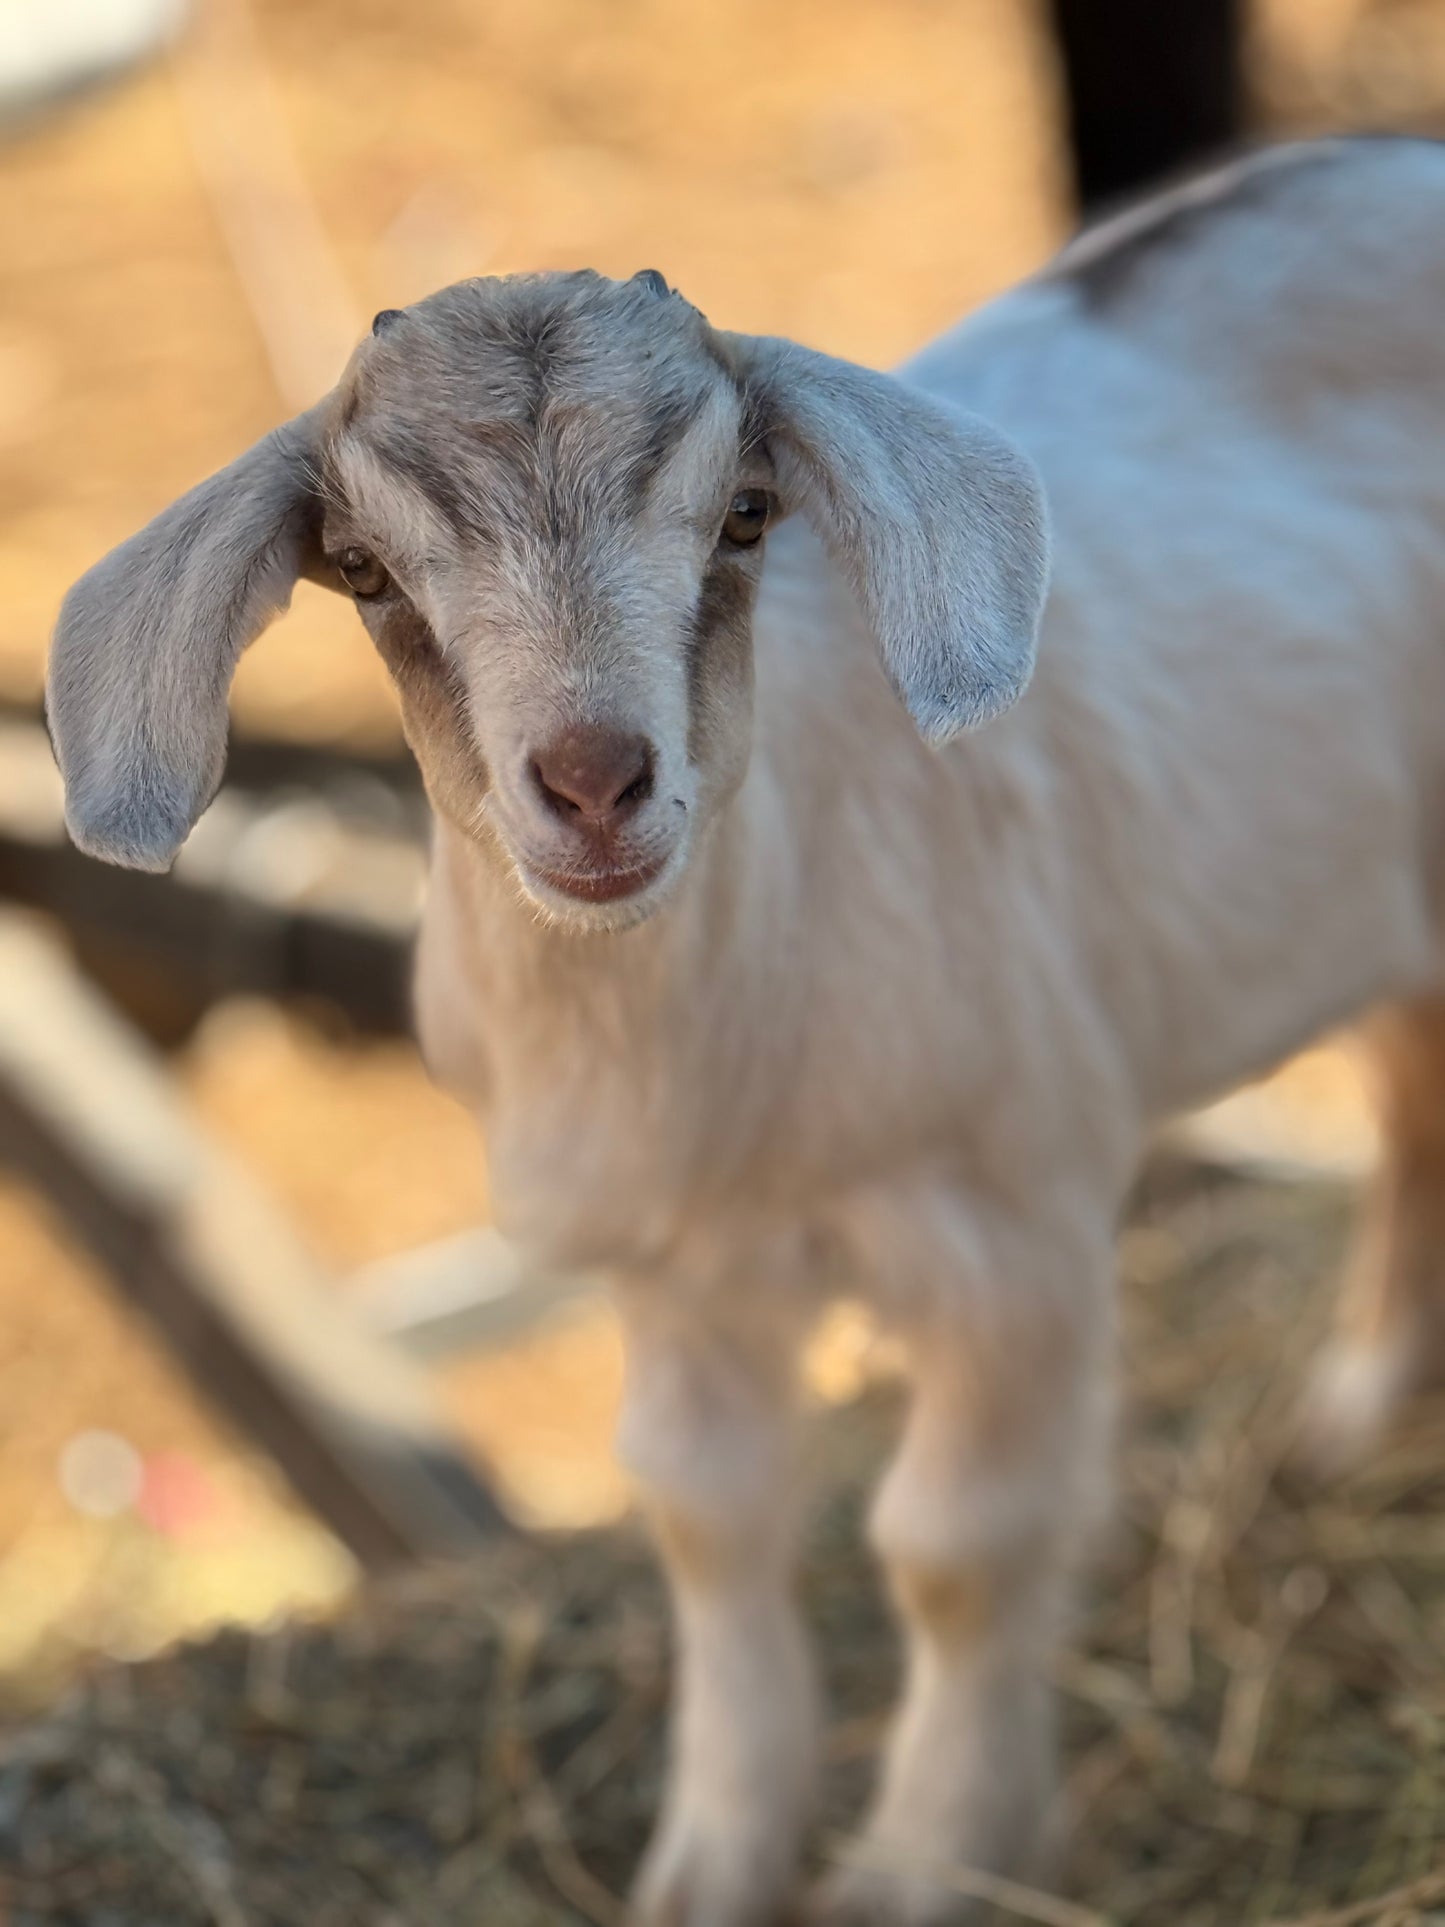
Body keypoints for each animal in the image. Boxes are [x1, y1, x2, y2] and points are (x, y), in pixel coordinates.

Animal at [46, 137, 1445, 1924]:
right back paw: (1354, 1419)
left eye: (745, 513)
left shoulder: (1013, 1233)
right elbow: (709, 1520)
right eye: (359, 568)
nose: (592, 780)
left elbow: (952, 1546)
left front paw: (922, 1859)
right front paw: (710, 1862)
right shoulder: (683, 1276)